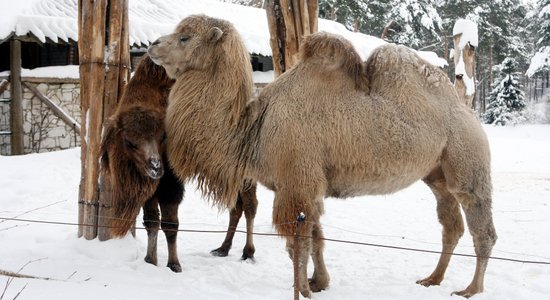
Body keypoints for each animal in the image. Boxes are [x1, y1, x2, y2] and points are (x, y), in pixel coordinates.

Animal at [149, 14, 498, 298]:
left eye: (184, 37)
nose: (153, 44)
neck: (253, 129)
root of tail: (467, 110)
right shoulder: (307, 184)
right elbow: (315, 236)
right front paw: (318, 283)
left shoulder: (297, 182)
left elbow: (298, 242)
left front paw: (302, 289)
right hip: (436, 174)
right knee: (451, 225)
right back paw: (432, 279)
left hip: (468, 161)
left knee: (482, 227)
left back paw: (471, 289)